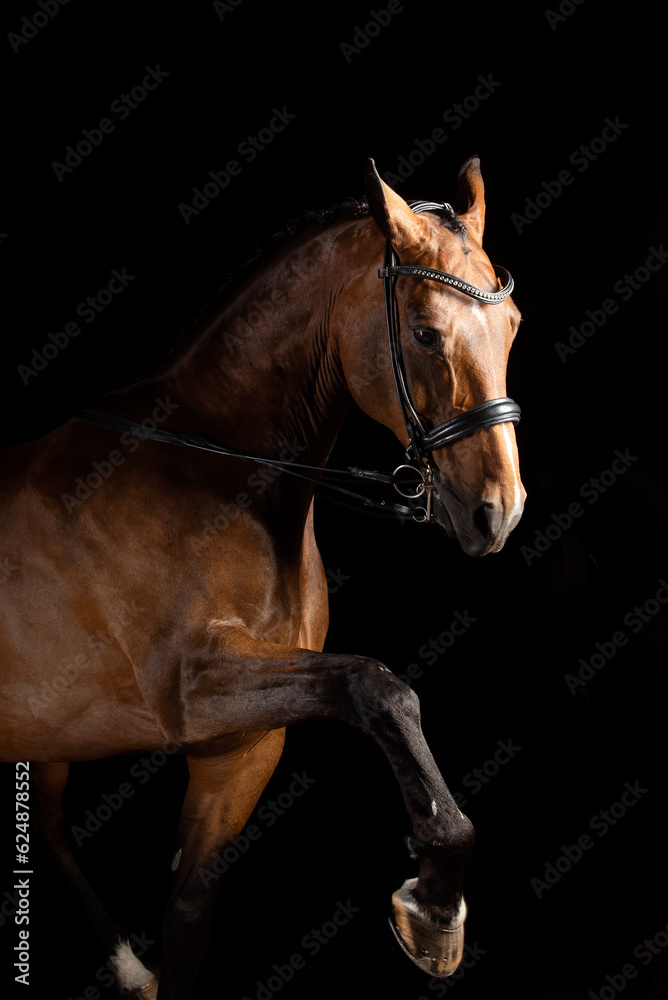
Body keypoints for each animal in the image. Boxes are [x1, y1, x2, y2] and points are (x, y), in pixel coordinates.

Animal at [0, 157, 525, 998]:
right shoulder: (190, 689)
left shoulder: (238, 747)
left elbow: (188, 918)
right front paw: (436, 909)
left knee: (45, 826)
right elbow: (378, 686)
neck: (220, 474)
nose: (498, 512)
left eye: (512, 327)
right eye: (424, 331)